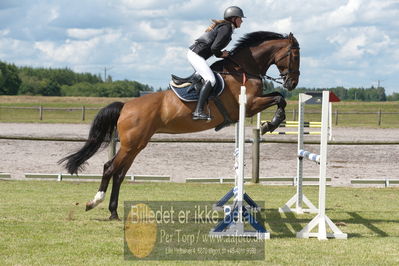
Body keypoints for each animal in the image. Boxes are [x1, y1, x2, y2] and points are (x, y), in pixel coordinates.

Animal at [57, 31, 298, 219]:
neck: (243, 69)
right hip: (130, 144)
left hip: (137, 145)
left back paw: (114, 212)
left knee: (119, 174)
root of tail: (125, 106)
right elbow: (279, 99)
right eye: (295, 55)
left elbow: (279, 98)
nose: (292, 83)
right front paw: (270, 123)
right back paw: (94, 202)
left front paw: (270, 123)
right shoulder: (249, 105)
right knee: (110, 168)